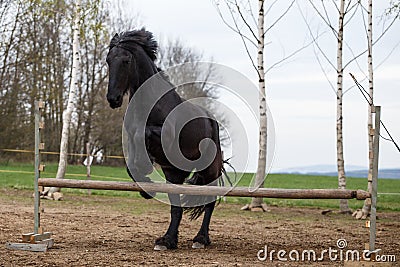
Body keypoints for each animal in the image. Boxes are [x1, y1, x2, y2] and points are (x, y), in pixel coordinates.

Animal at [106, 29, 225, 251]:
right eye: (108, 60)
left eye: (126, 60)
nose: (113, 99)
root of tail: (211, 120)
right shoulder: (131, 139)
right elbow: (131, 163)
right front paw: (145, 187)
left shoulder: (164, 136)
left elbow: (143, 134)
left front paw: (145, 170)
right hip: (173, 173)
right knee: (176, 207)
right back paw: (168, 240)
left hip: (209, 169)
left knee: (210, 201)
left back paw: (200, 239)